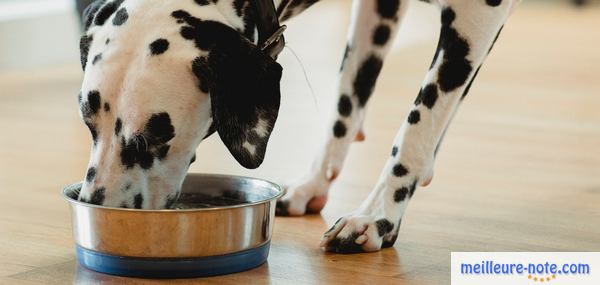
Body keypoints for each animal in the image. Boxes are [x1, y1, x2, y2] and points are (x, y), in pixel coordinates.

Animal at [76, 0, 520, 253]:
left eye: (153, 138)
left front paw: (377, 216)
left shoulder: (477, 14)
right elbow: (345, 99)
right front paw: (314, 183)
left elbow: (416, 126)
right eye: (88, 123)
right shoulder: (378, 5)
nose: (97, 209)